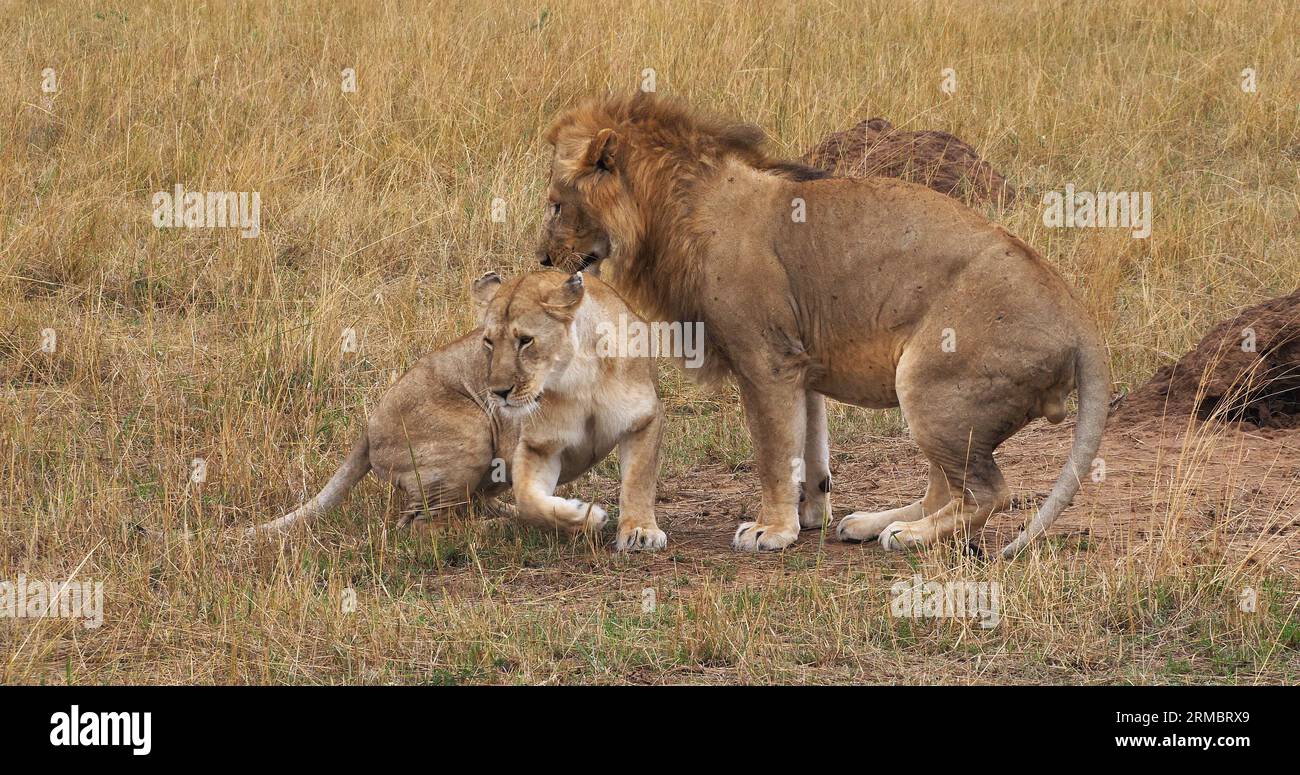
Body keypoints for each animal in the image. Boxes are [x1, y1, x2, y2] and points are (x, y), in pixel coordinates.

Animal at [256, 270, 667, 552]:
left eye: (525, 341)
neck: (578, 379)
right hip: (471, 432)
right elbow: (531, 500)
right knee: (421, 526)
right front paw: (585, 517)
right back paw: (496, 530)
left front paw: (639, 532)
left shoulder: (644, 419)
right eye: (488, 342)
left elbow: (638, 480)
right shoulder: (536, 446)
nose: (498, 393)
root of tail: (368, 428)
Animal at [537, 93, 1109, 558]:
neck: (675, 207)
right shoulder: (800, 360)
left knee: (989, 491)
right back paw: (874, 523)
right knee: (946, 488)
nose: (542, 259)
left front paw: (771, 531)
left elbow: (772, 451)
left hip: (930, 382)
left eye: (558, 205)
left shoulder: (765, 359)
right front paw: (809, 514)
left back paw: (909, 536)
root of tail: (1077, 313)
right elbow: (808, 446)